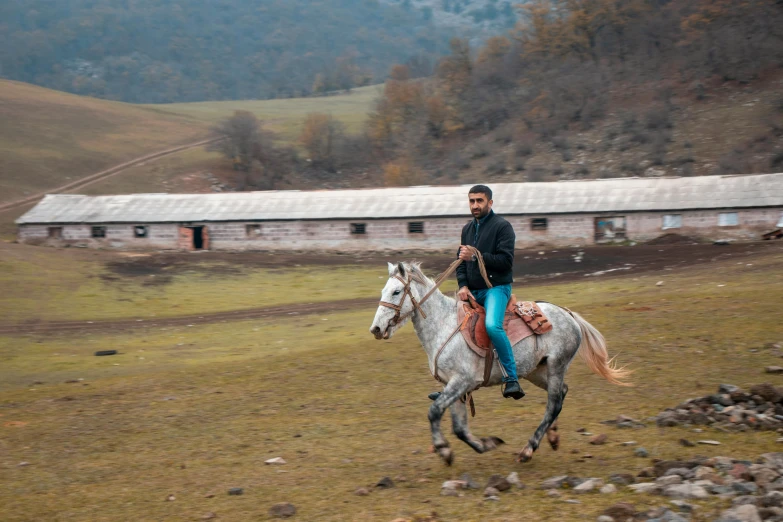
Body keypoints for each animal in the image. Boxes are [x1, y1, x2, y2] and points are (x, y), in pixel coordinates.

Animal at [370, 262, 632, 466]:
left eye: (396, 292)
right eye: (383, 290)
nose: (376, 329)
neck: (444, 325)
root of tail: (568, 314)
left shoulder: (461, 381)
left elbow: (434, 412)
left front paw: (444, 450)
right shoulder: (453, 386)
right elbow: (459, 427)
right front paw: (485, 444)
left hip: (557, 365)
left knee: (554, 403)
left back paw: (528, 449)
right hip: (536, 371)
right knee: (561, 394)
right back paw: (553, 437)